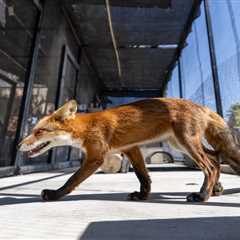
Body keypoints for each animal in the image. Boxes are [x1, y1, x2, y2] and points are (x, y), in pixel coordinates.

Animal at [18, 98, 240, 202]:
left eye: (39, 132)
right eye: (33, 130)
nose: (19, 144)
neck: (86, 127)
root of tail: (201, 106)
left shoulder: (96, 157)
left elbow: (71, 180)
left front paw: (55, 194)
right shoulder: (131, 148)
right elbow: (143, 177)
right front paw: (143, 196)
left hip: (186, 142)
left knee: (210, 165)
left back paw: (203, 196)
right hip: (180, 144)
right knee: (215, 158)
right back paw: (215, 189)